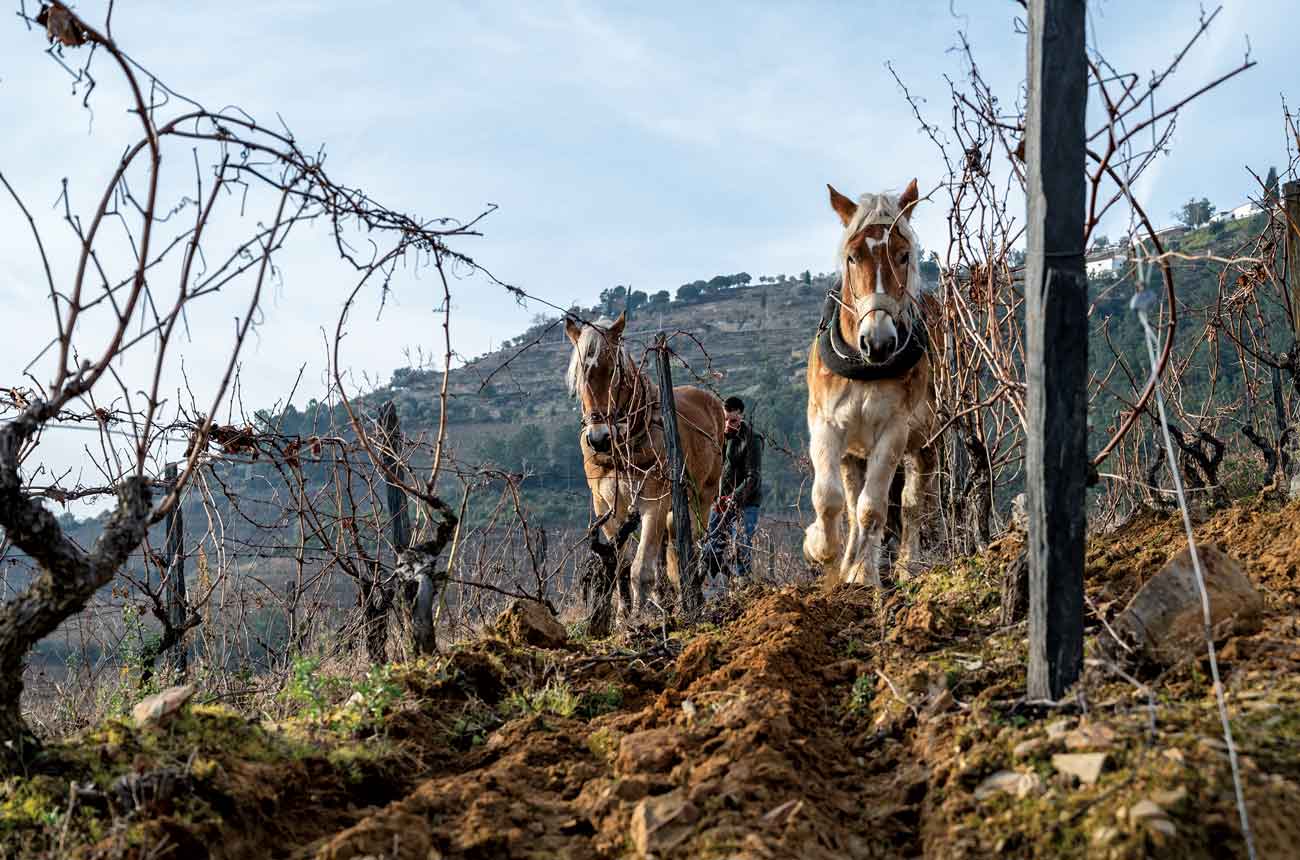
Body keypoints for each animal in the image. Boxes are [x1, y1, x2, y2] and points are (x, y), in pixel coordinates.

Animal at [565, 313, 725, 617]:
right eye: (579, 374)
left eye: (613, 369)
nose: (598, 438)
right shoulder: (605, 505)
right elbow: (621, 566)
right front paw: (622, 617)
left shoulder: (655, 500)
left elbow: (641, 569)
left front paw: (639, 619)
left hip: (702, 495)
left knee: (685, 547)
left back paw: (688, 598)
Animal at [802, 179, 939, 587]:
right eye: (852, 256)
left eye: (904, 255)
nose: (877, 343)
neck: (864, 366)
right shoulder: (826, 424)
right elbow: (828, 499)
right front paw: (823, 552)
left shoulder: (893, 431)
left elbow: (872, 508)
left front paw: (864, 575)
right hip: (852, 452)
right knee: (847, 499)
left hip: (925, 441)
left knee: (910, 503)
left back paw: (904, 565)